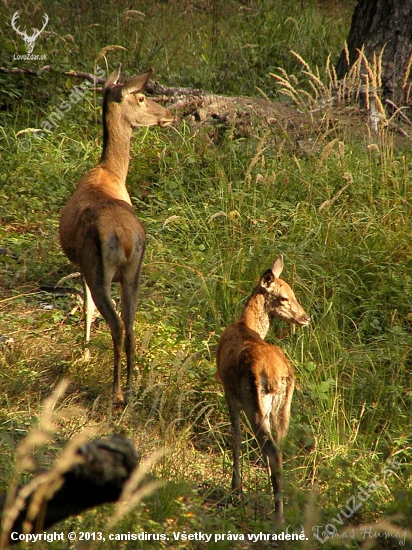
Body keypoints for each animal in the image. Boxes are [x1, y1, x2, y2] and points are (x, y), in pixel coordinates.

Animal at [59, 68, 172, 406]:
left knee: (116, 323)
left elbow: (86, 307)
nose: (169, 114)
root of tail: (125, 237)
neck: (110, 172)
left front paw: (83, 354)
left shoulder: (82, 264)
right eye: (143, 97)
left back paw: (115, 390)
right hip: (134, 271)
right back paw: (132, 388)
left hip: (99, 269)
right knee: (131, 324)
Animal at [216, 256, 308, 524]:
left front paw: (236, 487)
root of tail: (279, 376)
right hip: (283, 407)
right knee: (280, 447)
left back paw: (278, 517)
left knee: (271, 450)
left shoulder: (229, 392)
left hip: (254, 402)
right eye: (285, 296)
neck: (245, 324)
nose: (305, 317)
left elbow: (235, 436)